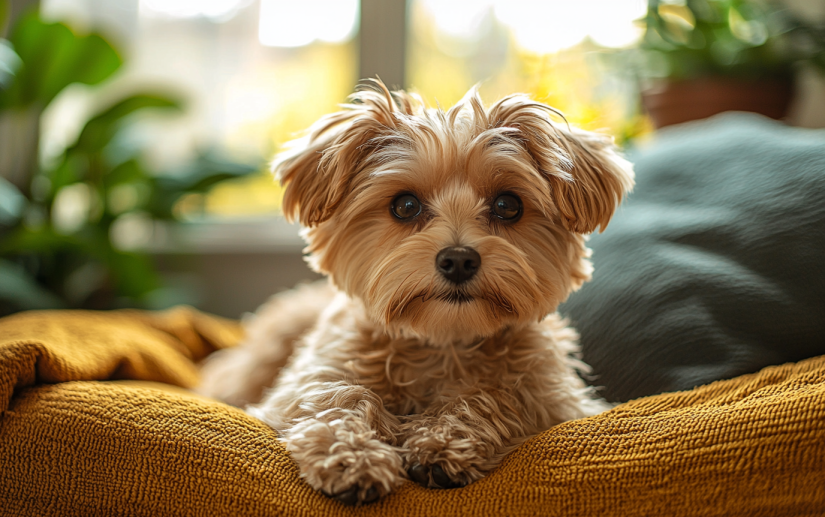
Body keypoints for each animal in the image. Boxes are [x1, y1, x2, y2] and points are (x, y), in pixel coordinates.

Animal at [196, 79, 636, 504]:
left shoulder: (557, 398)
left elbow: (499, 394)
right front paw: (352, 457)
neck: (441, 342)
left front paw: (445, 440)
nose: (458, 259)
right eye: (405, 205)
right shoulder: (311, 377)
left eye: (508, 205)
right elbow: (336, 395)